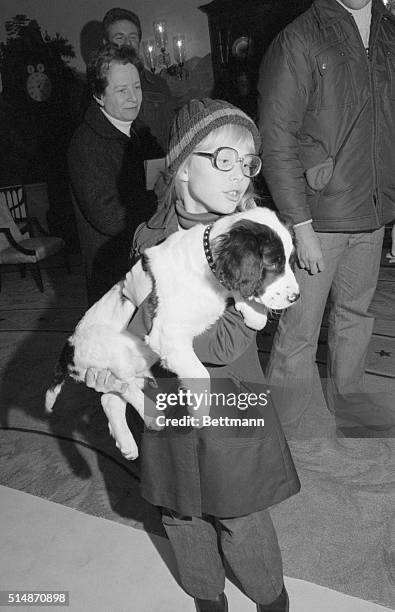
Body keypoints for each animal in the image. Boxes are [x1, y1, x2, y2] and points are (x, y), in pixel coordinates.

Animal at [44, 206, 298, 460]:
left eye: (289, 261)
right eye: (273, 264)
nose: (295, 297)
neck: (206, 265)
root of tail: (68, 349)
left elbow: (237, 290)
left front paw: (255, 314)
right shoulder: (167, 333)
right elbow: (200, 373)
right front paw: (199, 414)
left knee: (109, 398)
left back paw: (127, 445)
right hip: (110, 352)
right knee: (121, 385)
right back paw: (152, 415)